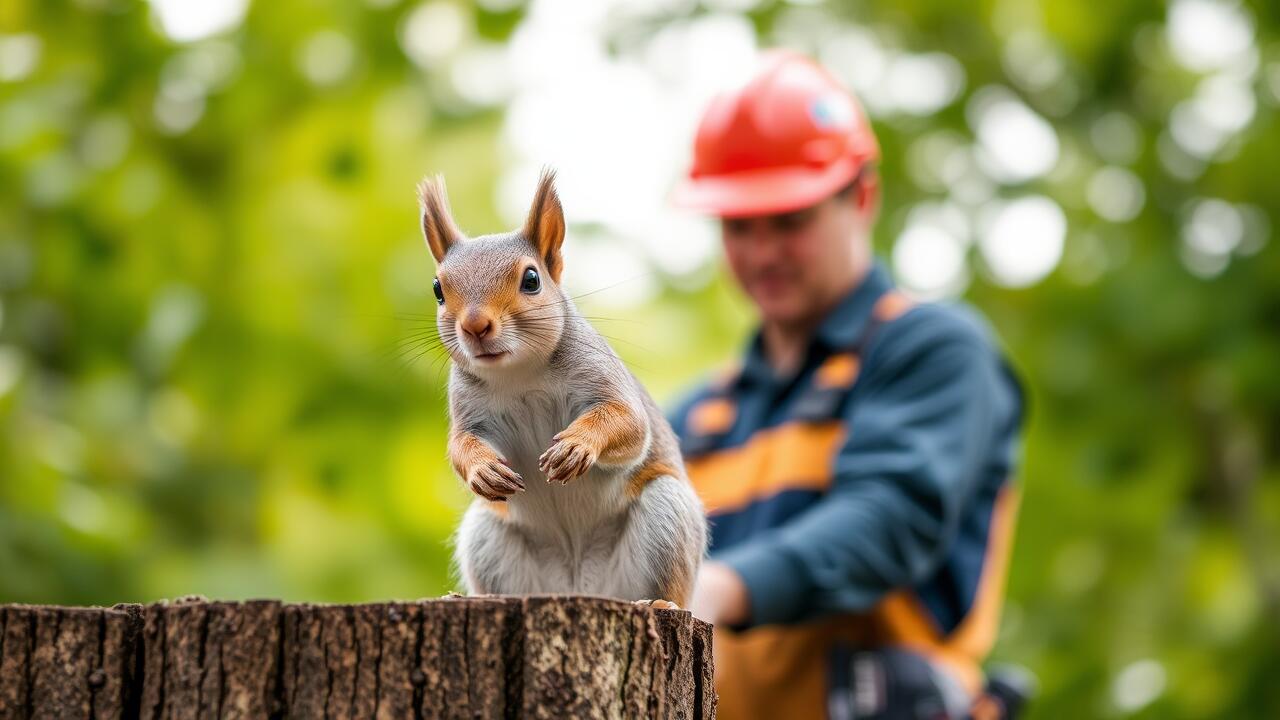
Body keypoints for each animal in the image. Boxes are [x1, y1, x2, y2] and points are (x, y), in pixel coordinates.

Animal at [418, 169, 707, 606]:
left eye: (531, 279)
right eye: (437, 289)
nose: (475, 326)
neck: (521, 374)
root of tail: (577, 583)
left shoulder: (602, 378)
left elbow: (629, 423)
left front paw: (576, 445)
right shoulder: (469, 410)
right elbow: (460, 446)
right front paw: (482, 468)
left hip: (665, 515)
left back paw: (660, 601)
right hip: (488, 537)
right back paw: (473, 598)